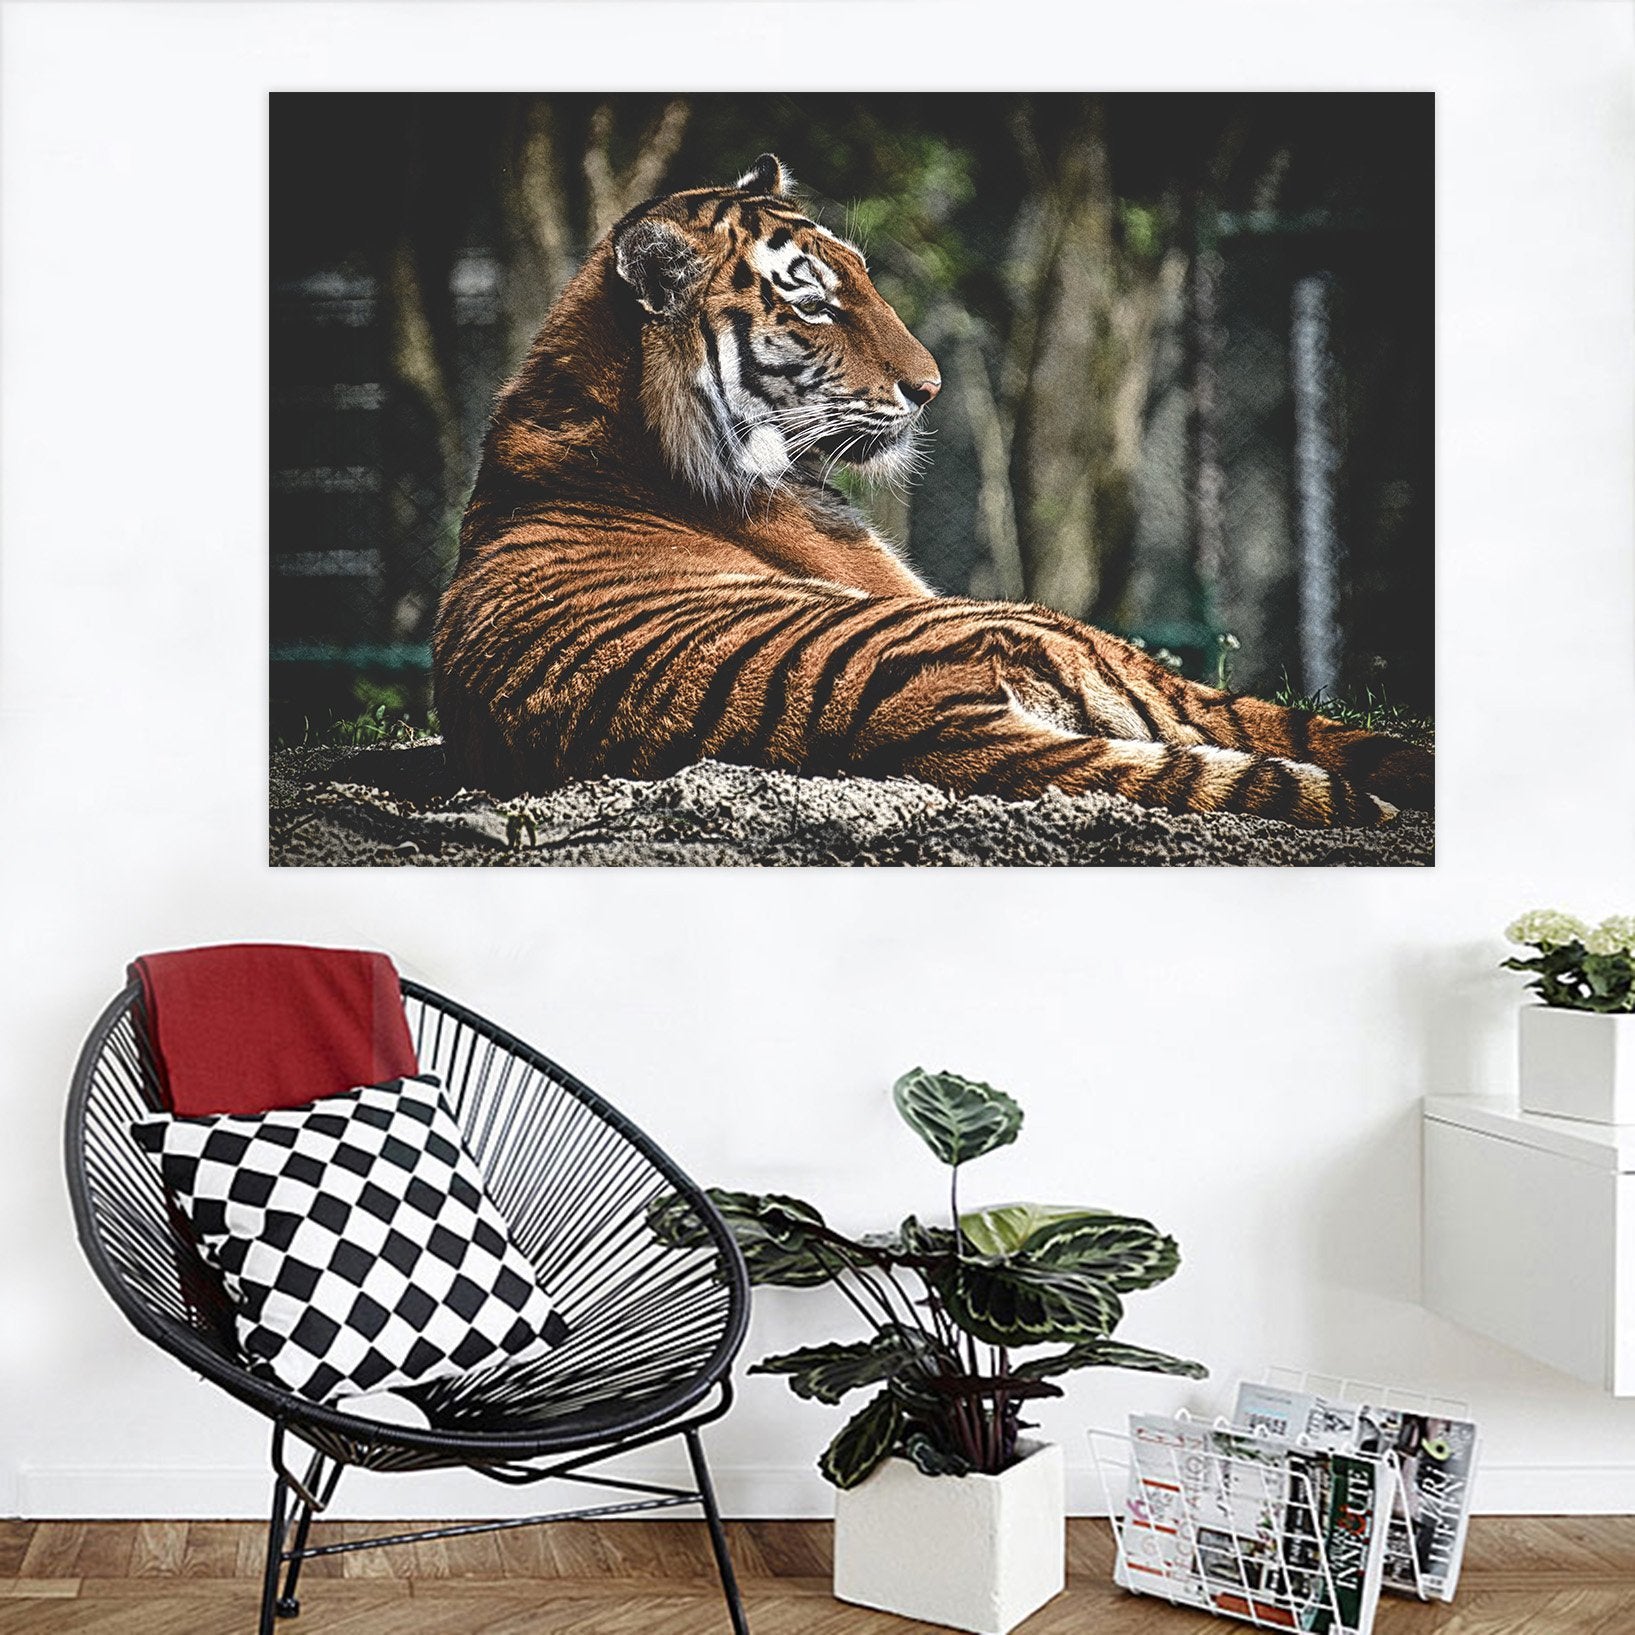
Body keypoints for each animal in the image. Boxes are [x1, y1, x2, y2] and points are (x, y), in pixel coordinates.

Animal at [433, 153, 1432, 828]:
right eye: (812, 302)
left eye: (863, 278)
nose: (931, 388)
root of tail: (915, 720)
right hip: (1059, 633)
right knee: (1286, 725)